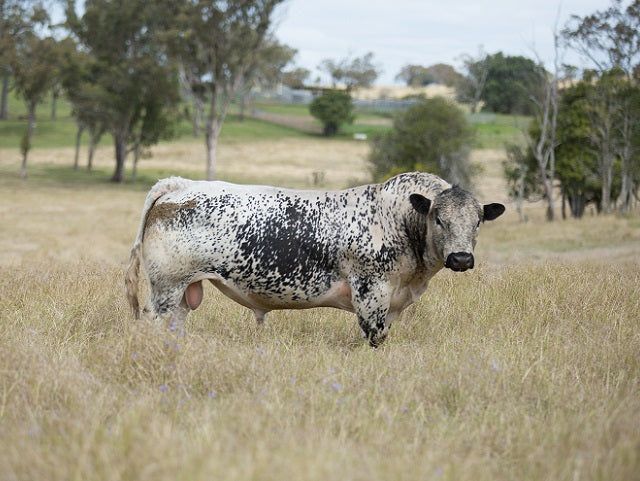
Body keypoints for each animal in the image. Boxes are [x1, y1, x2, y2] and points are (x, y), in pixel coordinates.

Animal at [125, 172, 504, 344]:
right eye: (438, 219)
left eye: (478, 221)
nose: (461, 258)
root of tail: (180, 185)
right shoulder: (371, 293)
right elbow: (374, 337)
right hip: (166, 288)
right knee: (152, 323)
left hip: (183, 294)